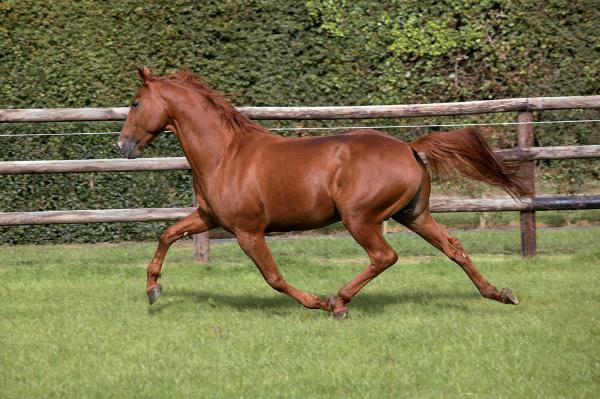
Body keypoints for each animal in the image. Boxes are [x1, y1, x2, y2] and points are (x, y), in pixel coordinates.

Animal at [117, 68, 524, 318]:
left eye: (135, 103)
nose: (122, 145)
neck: (225, 154)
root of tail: (409, 148)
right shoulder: (208, 217)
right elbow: (167, 234)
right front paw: (153, 289)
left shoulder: (248, 232)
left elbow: (274, 277)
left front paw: (320, 302)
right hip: (414, 214)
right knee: (453, 247)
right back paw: (501, 293)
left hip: (359, 218)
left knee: (384, 256)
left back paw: (340, 302)